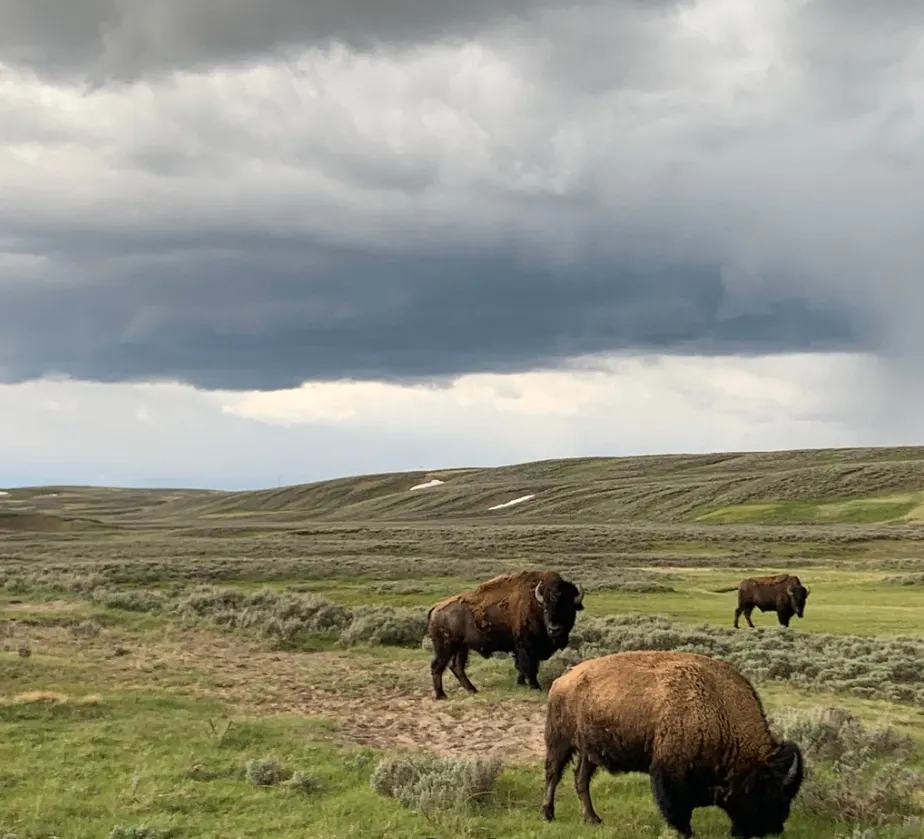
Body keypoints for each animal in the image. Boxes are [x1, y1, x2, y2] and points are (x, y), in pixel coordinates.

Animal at [426, 572, 584, 704]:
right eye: (545, 608)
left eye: (569, 608)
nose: (554, 629)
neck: (535, 605)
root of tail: (435, 608)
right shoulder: (526, 646)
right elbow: (529, 666)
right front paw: (535, 687)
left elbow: (522, 667)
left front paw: (520, 683)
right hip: (445, 647)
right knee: (437, 666)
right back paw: (441, 695)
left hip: (461, 648)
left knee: (457, 667)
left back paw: (473, 690)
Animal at [536, 652, 804, 836]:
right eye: (771, 792)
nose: (774, 828)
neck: (718, 709)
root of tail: (563, 678)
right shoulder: (669, 771)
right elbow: (676, 807)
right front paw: (684, 832)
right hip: (560, 742)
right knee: (553, 774)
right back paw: (548, 814)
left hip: (589, 751)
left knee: (580, 779)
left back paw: (592, 819)